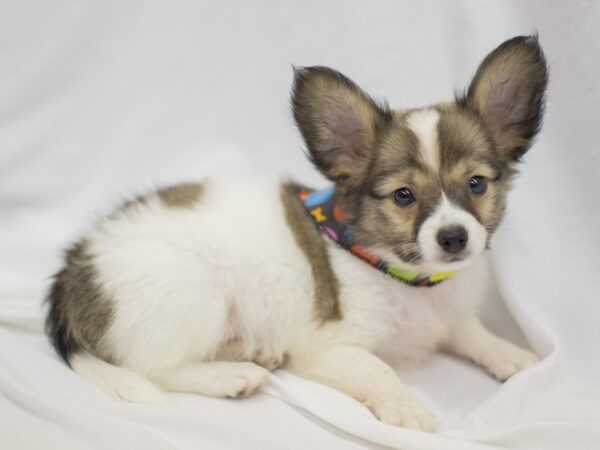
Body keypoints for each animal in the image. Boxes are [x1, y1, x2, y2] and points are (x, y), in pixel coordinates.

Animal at [44, 34, 548, 428]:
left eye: (476, 184)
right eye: (404, 196)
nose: (454, 237)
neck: (412, 281)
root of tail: (73, 268)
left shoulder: (449, 319)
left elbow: (472, 332)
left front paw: (510, 354)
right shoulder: (328, 349)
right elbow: (377, 368)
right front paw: (405, 406)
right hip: (195, 292)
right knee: (155, 369)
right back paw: (231, 376)